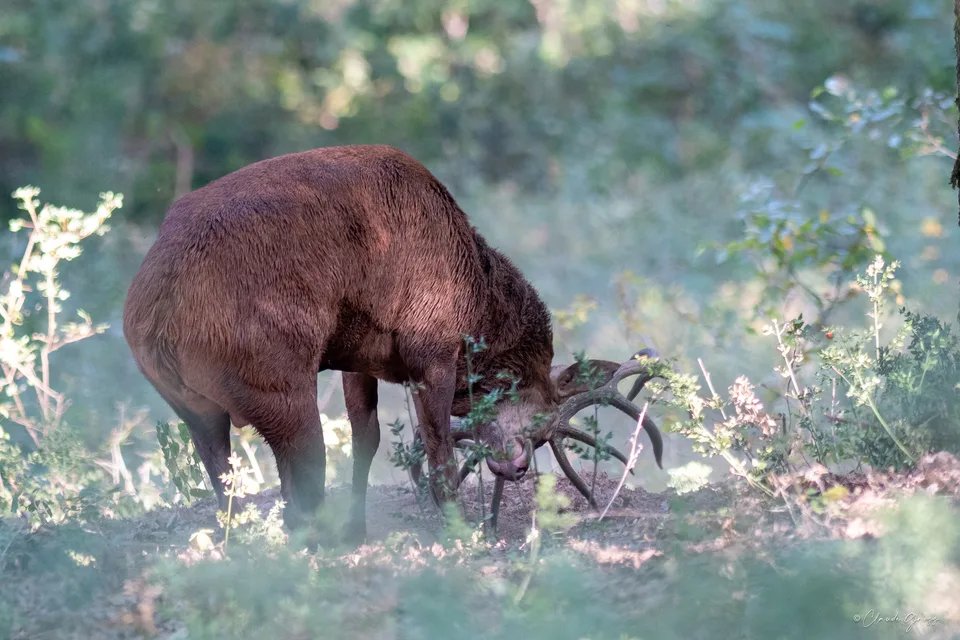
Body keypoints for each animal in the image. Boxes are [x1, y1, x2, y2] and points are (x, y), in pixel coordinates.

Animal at [122, 144, 664, 542]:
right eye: (539, 420)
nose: (515, 466)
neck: (477, 301)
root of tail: (156, 315)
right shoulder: (432, 350)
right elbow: (439, 454)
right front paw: (459, 530)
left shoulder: (356, 356)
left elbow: (368, 440)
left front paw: (359, 527)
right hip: (276, 381)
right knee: (301, 486)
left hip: (191, 405)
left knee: (224, 487)